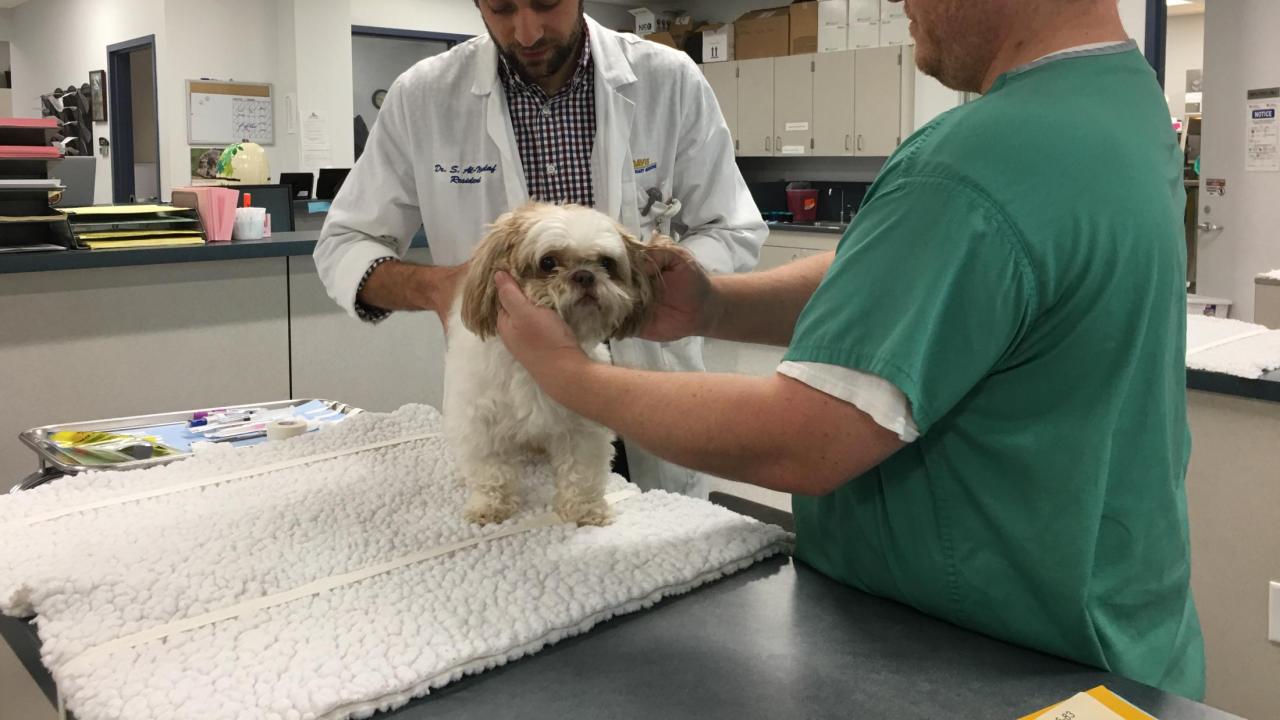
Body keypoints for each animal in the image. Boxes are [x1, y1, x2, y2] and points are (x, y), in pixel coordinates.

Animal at [442, 204, 665, 525]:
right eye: (548, 262)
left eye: (606, 263)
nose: (584, 275)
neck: (528, 366)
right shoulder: (481, 422)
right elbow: (491, 471)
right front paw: (490, 506)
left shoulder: (581, 426)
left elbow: (581, 473)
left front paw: (585, 510)